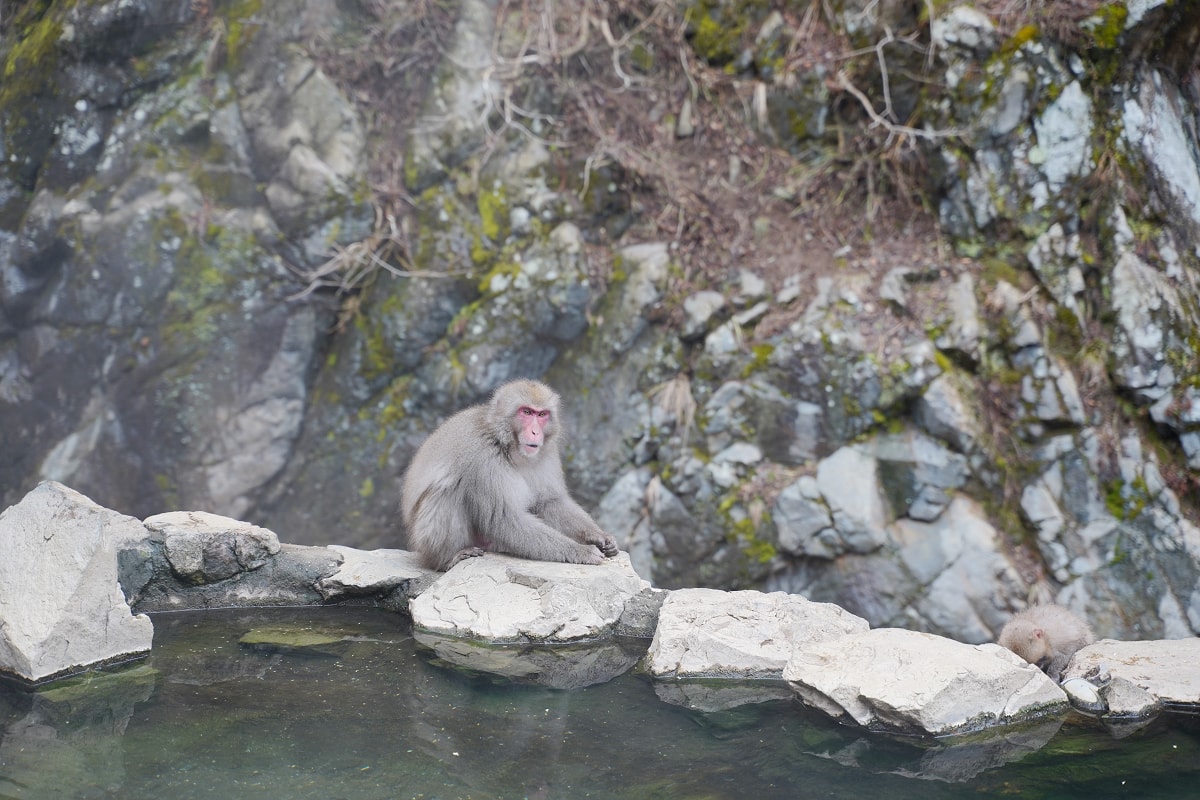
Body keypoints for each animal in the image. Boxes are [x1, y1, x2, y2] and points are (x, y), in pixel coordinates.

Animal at [400, 379, 620, 571]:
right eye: (526, 412)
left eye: (542, 414)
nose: (535, 432)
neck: (507, 444)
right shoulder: (483, 458)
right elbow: (504, 519)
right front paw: (581, 551)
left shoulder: (547, 453)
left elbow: (548, 502)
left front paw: (599, 536)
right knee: (448, 490)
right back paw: (448, 558)